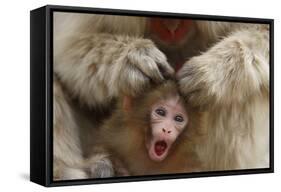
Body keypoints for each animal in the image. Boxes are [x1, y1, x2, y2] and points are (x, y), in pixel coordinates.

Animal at [53, 10, 270, 180]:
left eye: (178, 118)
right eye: (160, 113)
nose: (171, 27)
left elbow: (263, 32)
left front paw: (209, 72)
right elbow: (70, 50)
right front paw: (132, 59)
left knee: (235, 92)